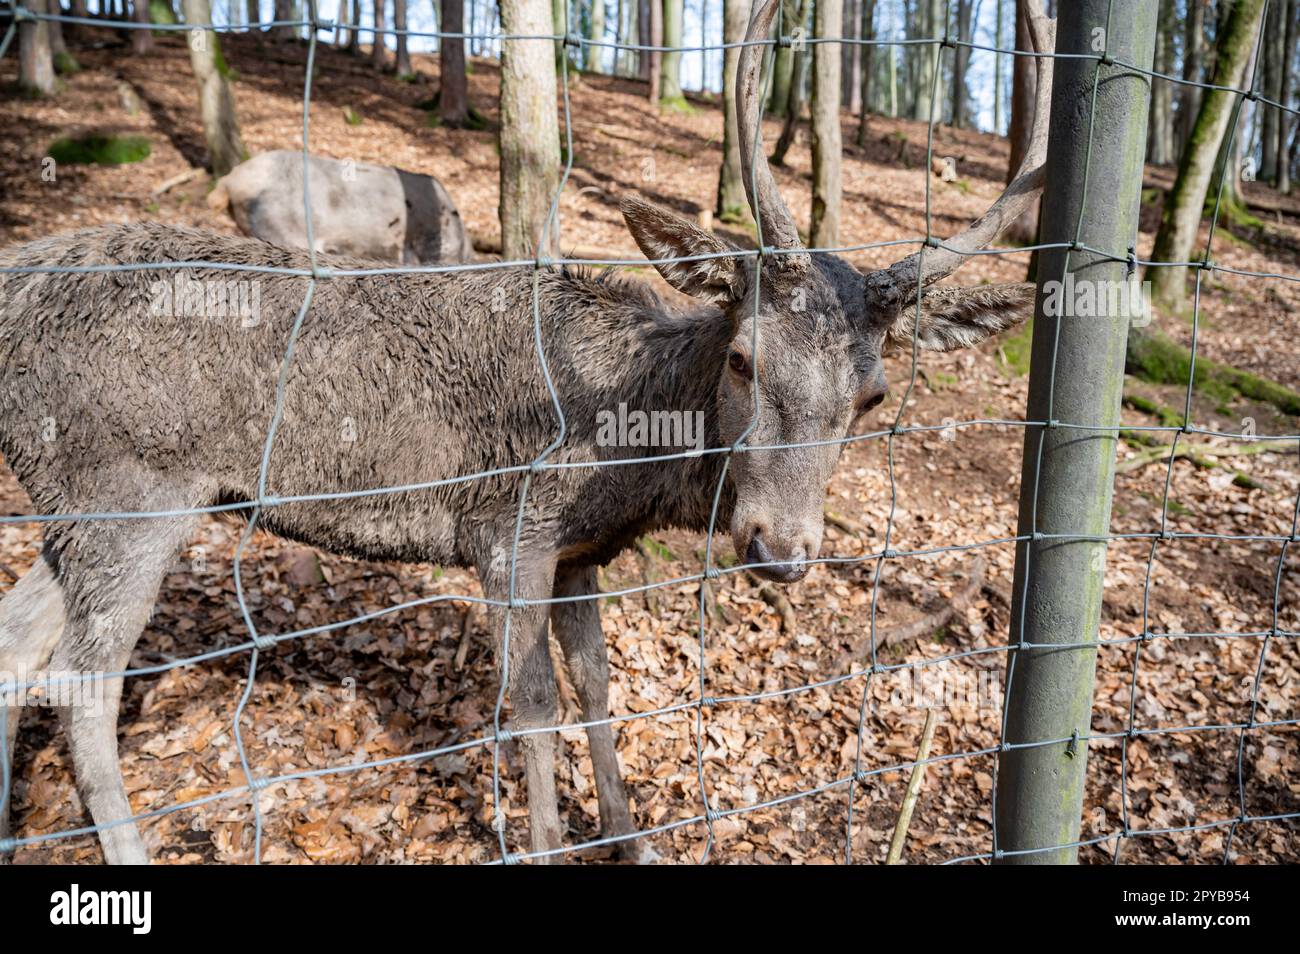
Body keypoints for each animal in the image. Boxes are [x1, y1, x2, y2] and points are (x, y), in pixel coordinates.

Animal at [0, 0, 1055, 868]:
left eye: (873, 396)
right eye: (745, 357)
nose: (782, 550)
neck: (632, 458)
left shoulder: (582, 551)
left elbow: (596, 687)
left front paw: (632, 840)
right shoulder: (507, 534)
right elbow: (534, 703)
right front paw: (549, 845)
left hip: (73, 510)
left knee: (22, 654)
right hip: (130, 493)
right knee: (81, 683)